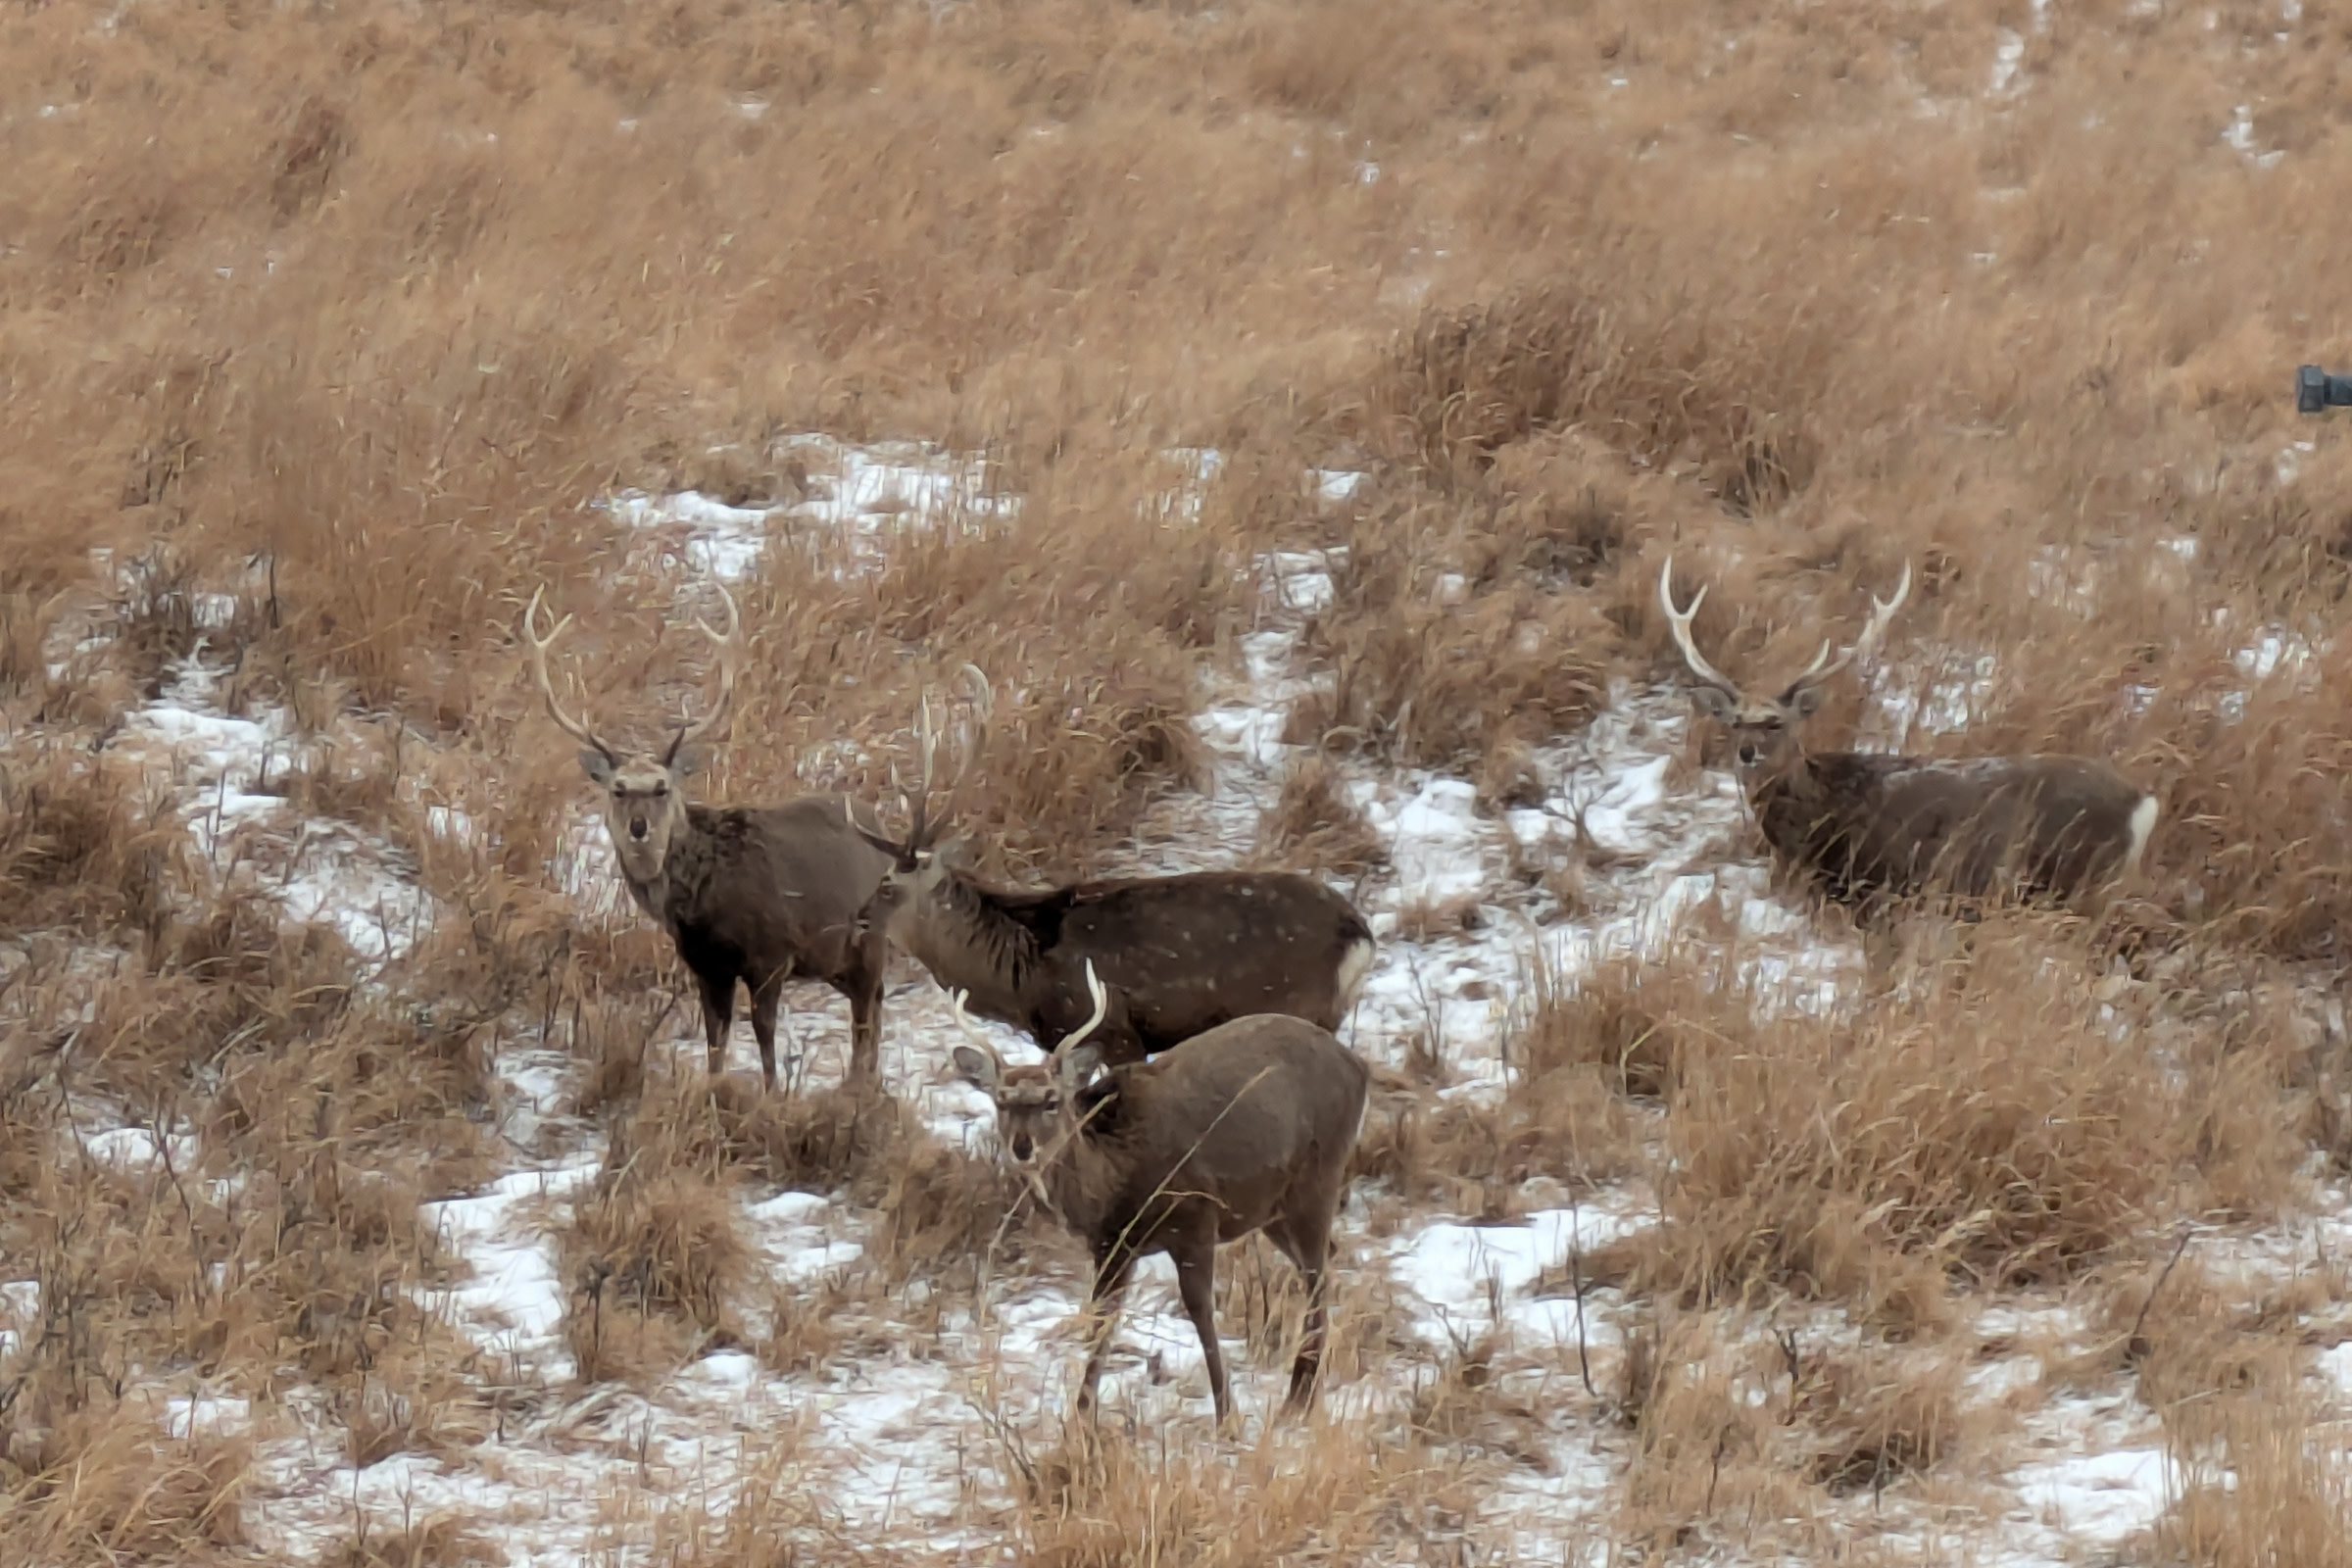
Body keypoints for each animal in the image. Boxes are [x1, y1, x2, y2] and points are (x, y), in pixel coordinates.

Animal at [519, 585, 894, 1091]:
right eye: (619, 789)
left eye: (662, 787)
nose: (639, 827)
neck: (702, 904)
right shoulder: (704, 965)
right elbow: (716, 1040)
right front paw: (715, 1089)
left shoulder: (770, 954)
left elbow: (765, 1036)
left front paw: (773, 1094)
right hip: (833, 958)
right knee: (874, 1008)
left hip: (870, 939)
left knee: (865, 1014)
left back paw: (858, 1087)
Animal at [842, 676, 1373, 1067]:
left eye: (888, 885)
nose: (858, 919)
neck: (1021, 976)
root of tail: (1360, 936)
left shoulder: (1113, 1029)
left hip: (1297, 1004)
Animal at [950, 958, 1373, 1419]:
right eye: (1001, 1101)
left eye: (1051, 1099)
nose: (1022, 1148)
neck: (1115, 1183)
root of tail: (1359, 1067)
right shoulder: (1111, 1246)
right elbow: (1101, 1321)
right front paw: (1081, 1417)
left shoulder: (1196, 1218)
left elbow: (1201, 1314)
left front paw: (1226, 1416)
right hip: (1272, 1208)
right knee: (1324, 1263)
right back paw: (1302, 1391)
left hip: (1319, 1176)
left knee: (1317, 1276)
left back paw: (1298, 1398)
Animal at [1646, 552, 2154, 921]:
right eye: (1734, 721)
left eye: (1776, 722)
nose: (1747, 753)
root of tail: (2143, 803)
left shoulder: (1883, 887)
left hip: (2073, 880)